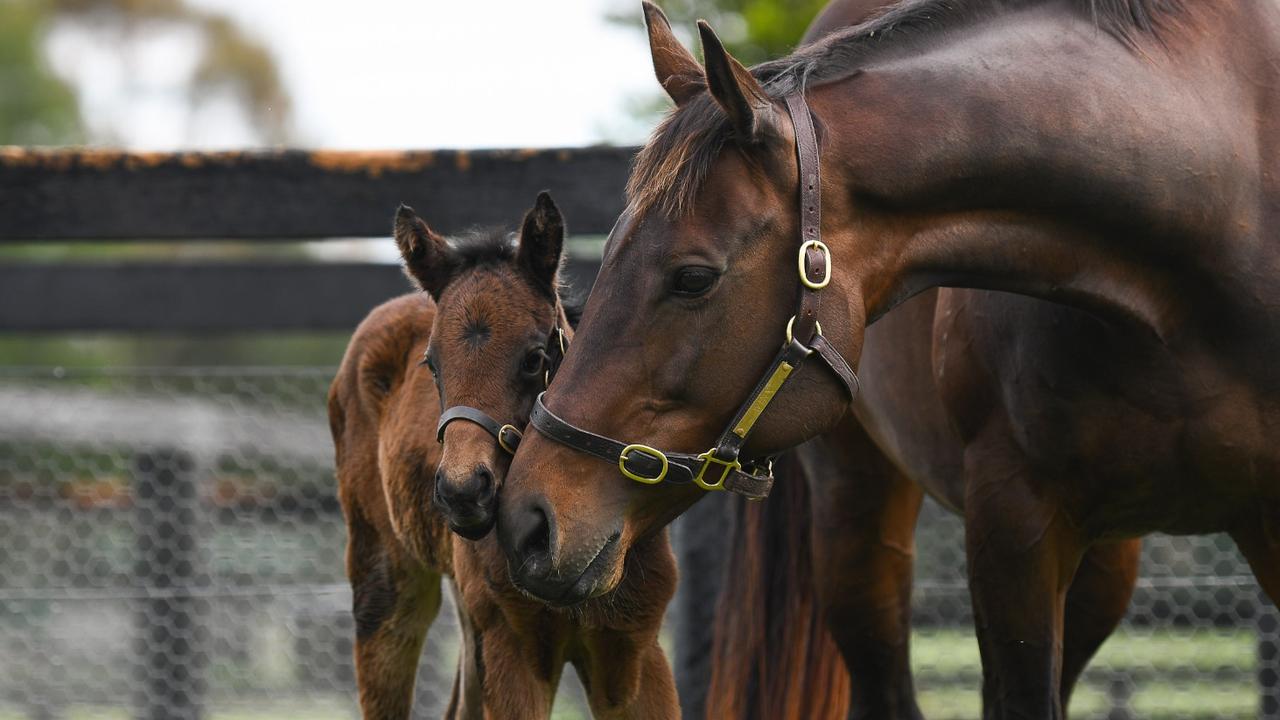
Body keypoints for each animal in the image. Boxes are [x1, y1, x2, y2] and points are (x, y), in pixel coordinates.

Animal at [325, 192, 675, 717]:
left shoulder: (633, 649)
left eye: (534, 358)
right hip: (388, 583)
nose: (463, 491)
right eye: (432, 365)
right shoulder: (511, 644)